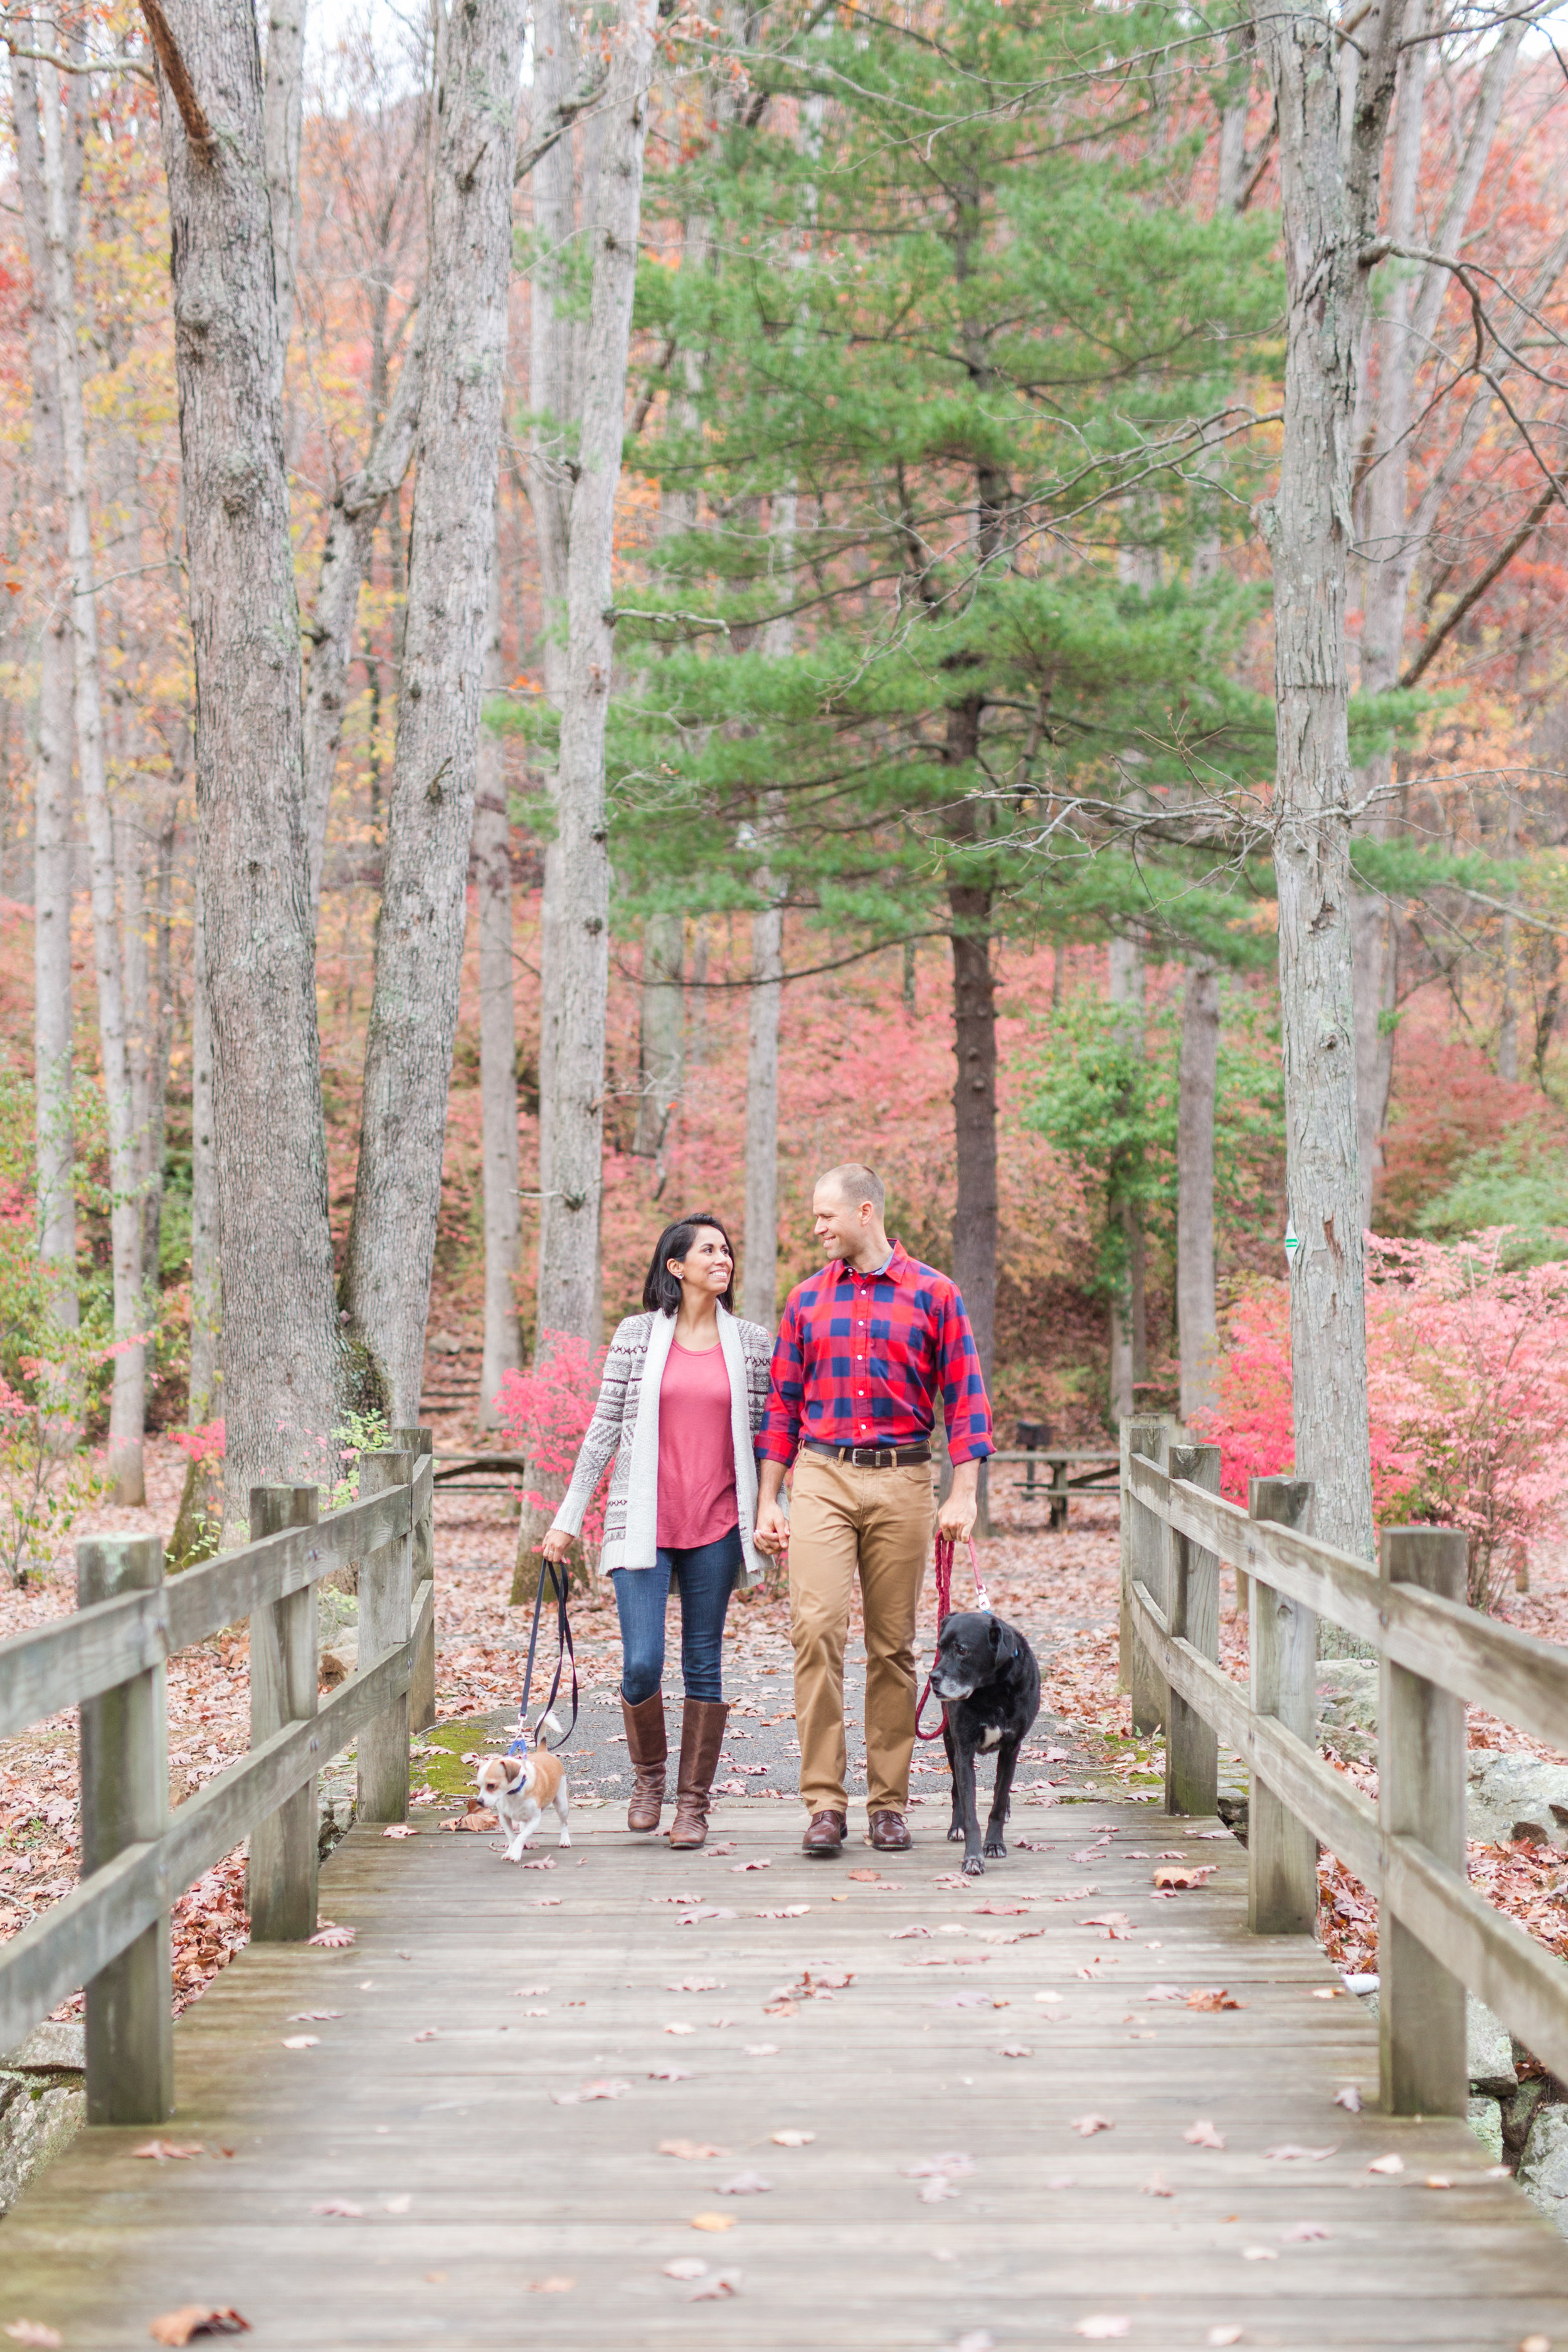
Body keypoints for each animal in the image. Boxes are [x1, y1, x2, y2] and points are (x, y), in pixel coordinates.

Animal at [484, 1722, 576, 1863]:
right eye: (478, 1786)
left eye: (491, 1786)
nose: (479, 1801)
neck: (513, 1795)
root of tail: (543, 1752)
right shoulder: (504, 1818)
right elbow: (512, 1837)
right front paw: (511, 1851)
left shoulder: (535, 1820)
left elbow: (521, 1837)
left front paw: (516, 1852)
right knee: (523, 1828)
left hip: (562, 1805)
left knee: (564, 1823)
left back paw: (565, 1840)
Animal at [931, 1609, 1044, 1882]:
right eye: (940, 1648)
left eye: (962, 1650)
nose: (933, 1678)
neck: (992, 1690)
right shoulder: (963, 1750)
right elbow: (970, 1809)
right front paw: (973, 1858)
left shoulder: (1012, 1748)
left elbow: (999, 1801)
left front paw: (994, 1844)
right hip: (949, 1742)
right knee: (956, 1791)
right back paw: (957, 1826)